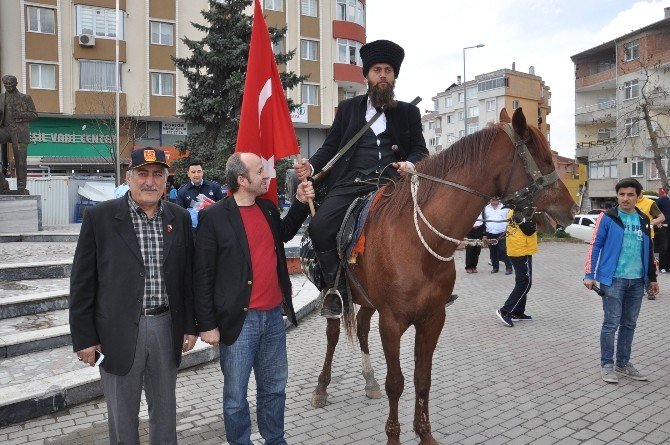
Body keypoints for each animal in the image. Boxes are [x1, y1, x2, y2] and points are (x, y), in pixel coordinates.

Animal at [310, 106, 576, 442]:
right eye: (543, 159)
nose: (572, 209)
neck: (418, 238)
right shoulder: (392, 322)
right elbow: (396, 383)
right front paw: (394, 436)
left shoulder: (433, 318)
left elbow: (422, 379)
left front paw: (424, 434)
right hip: (334, 296)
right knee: (333, 335)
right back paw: (321, 387)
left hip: (368, 301)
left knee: (361, 328)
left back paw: (369, 381)